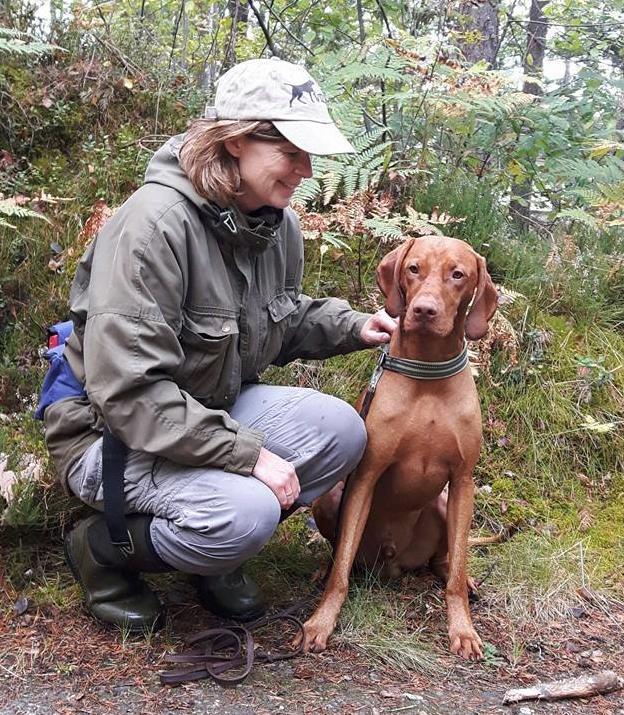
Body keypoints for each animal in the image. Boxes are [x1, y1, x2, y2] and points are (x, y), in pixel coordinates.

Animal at [298, 234, 498, 660]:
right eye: (414, 268)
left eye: (458, 274)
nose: (424, 310)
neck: (428, 375)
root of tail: (392, 563)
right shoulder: (366, 476)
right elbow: (341, 570)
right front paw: (320, 622)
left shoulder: (463, 481)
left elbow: (456, 575)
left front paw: (463, 630)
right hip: (331, 497)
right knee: (340, 554)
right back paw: (323, 570)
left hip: (444, 503)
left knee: (446, 561)